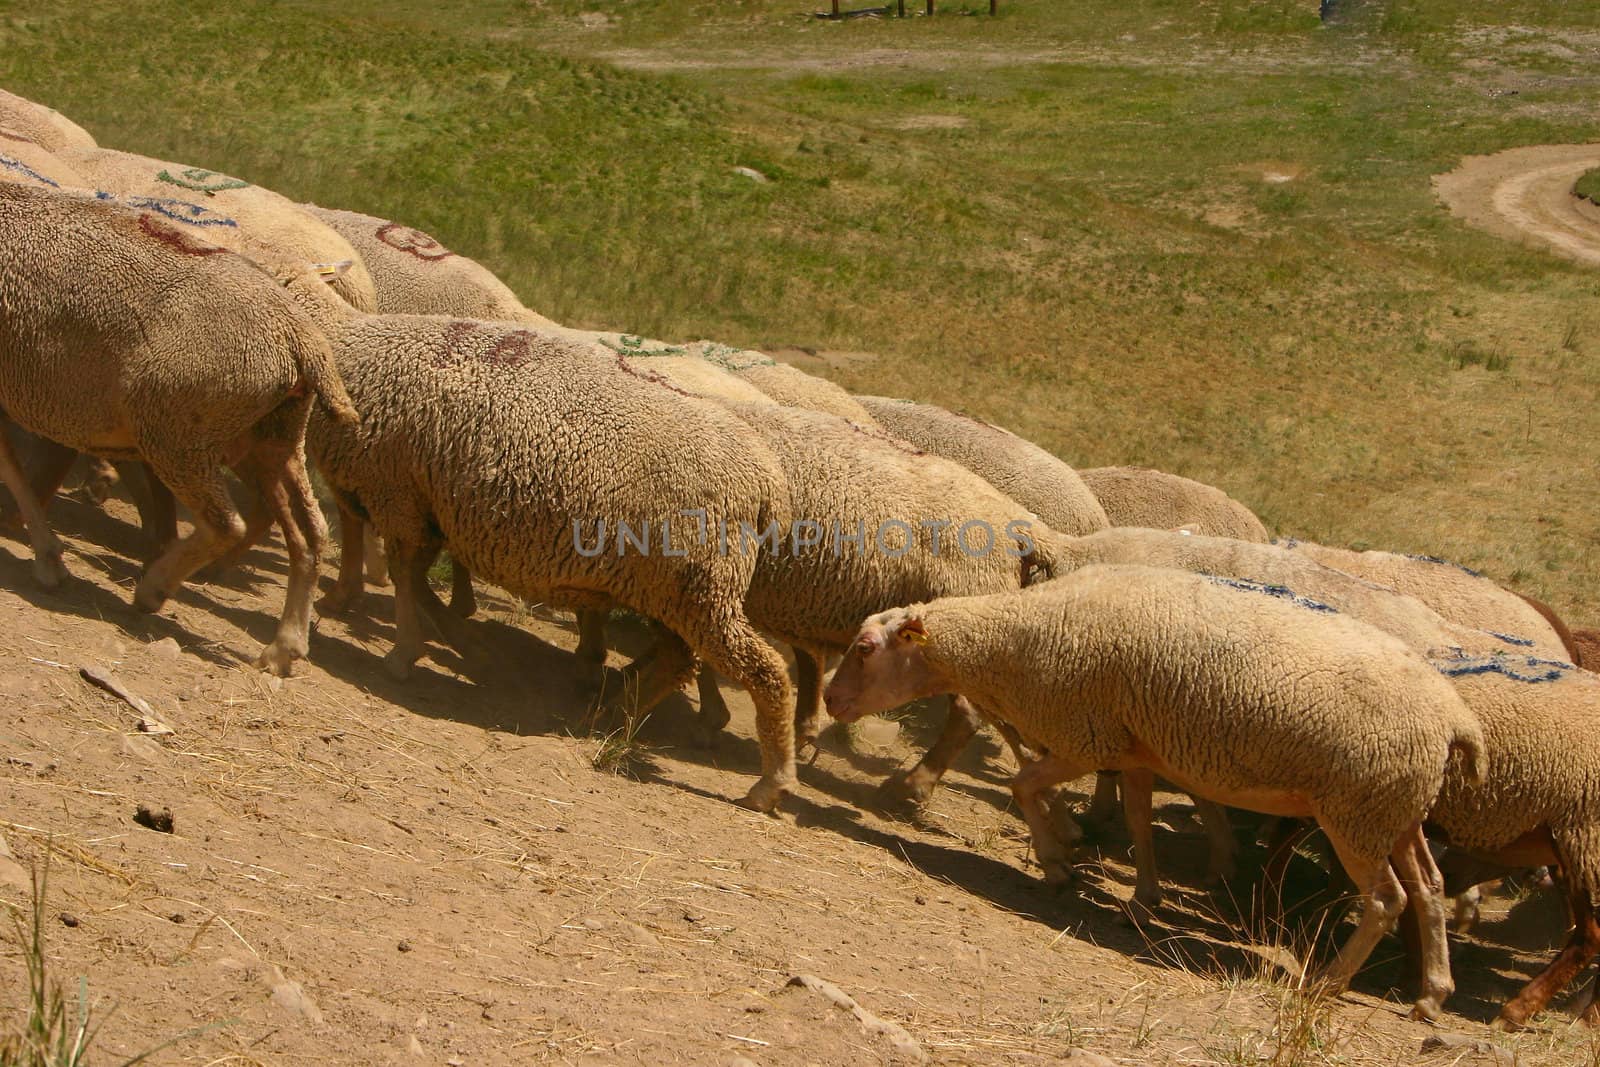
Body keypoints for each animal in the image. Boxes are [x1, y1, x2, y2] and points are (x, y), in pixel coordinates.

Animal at [0, 179, 356, 671]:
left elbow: (12, 468)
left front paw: (47, 557)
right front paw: (47, 555)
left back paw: (155, 587)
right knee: (310, 535)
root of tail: (299, 338)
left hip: (177, 433)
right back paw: (284, 647)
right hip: (273, 439)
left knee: (227, 525)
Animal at [825, 563, 1484, 1023]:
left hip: (1357, 810)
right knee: (1429, 888)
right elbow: (1140, 824)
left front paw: (1058, 865)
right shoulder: (1132, 749)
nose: (831, 702)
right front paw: (1142, 899)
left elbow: (1021, 784)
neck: (1013, 640)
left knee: (1387, 899)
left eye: (864, 649)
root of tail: (1455, 718)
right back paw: (1432, 995)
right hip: (1396, 813)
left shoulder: (1084, 737)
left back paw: (1326, 983)